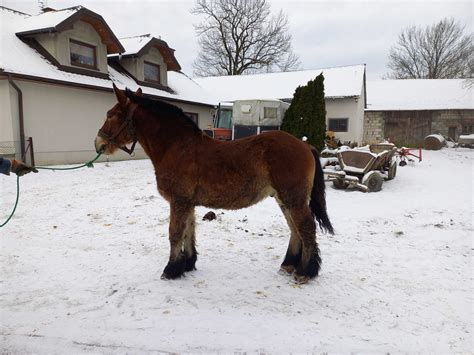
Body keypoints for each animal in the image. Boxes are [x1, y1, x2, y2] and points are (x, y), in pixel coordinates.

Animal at [95, 85, 334, 286]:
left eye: (110, 115)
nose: (99, 144)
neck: (177, 146)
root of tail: (304, 145)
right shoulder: (187, 203)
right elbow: (189, 231)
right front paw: (187, 264)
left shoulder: (179, 201)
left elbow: (175, 233)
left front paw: (171, 269)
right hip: (284, 199)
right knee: (295, 229)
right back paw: (289, 264)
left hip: (294, 199)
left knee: (306, 228)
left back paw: (305, 271)